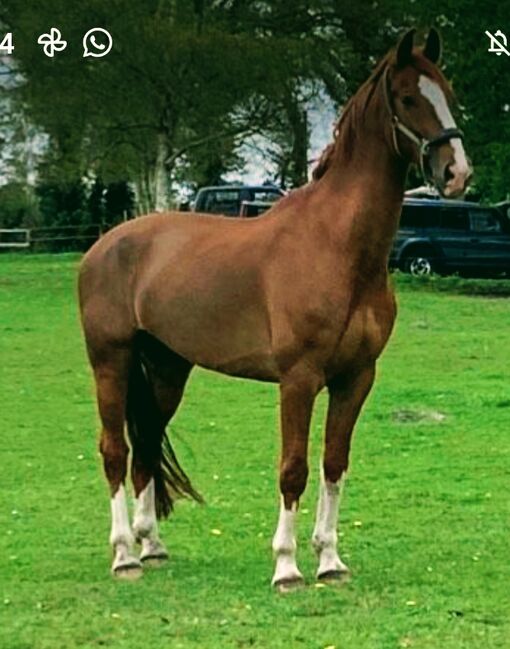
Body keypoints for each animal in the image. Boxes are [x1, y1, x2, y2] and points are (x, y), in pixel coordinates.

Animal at [77, 29, 472, 588]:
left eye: (448, 95)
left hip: (167, 369)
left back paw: (151, 545)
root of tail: (103, 246)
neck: (337, 246)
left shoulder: (356, 377)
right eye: (408, 98)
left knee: (147, 449)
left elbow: (334, 463)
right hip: (110, 362)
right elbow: (294, 467)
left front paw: (330, 561)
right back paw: (124, 556)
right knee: (116, 451)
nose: (456, 172)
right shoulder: (299, 378)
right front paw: (286, 567)